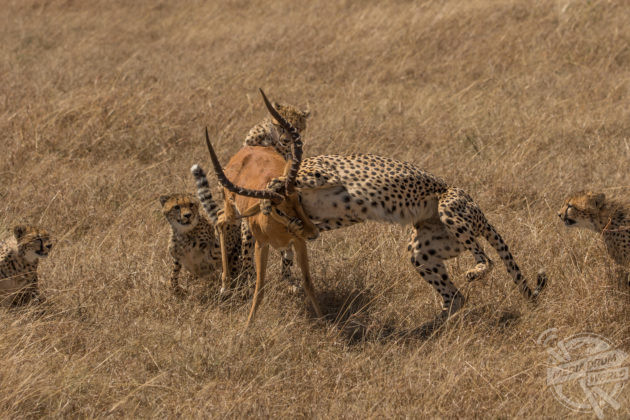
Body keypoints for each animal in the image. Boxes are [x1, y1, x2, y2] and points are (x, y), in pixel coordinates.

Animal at [232, 97, 548, 322]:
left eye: (296, 127)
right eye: (280, 126)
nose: (288, 139)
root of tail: (479, 210)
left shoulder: (322, 175)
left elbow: (282, 184)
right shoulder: (313, 222)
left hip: (449, 207)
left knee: (487, 260)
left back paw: (474, 273)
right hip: (424, 251)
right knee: (454, 297)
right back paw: (429, 329)